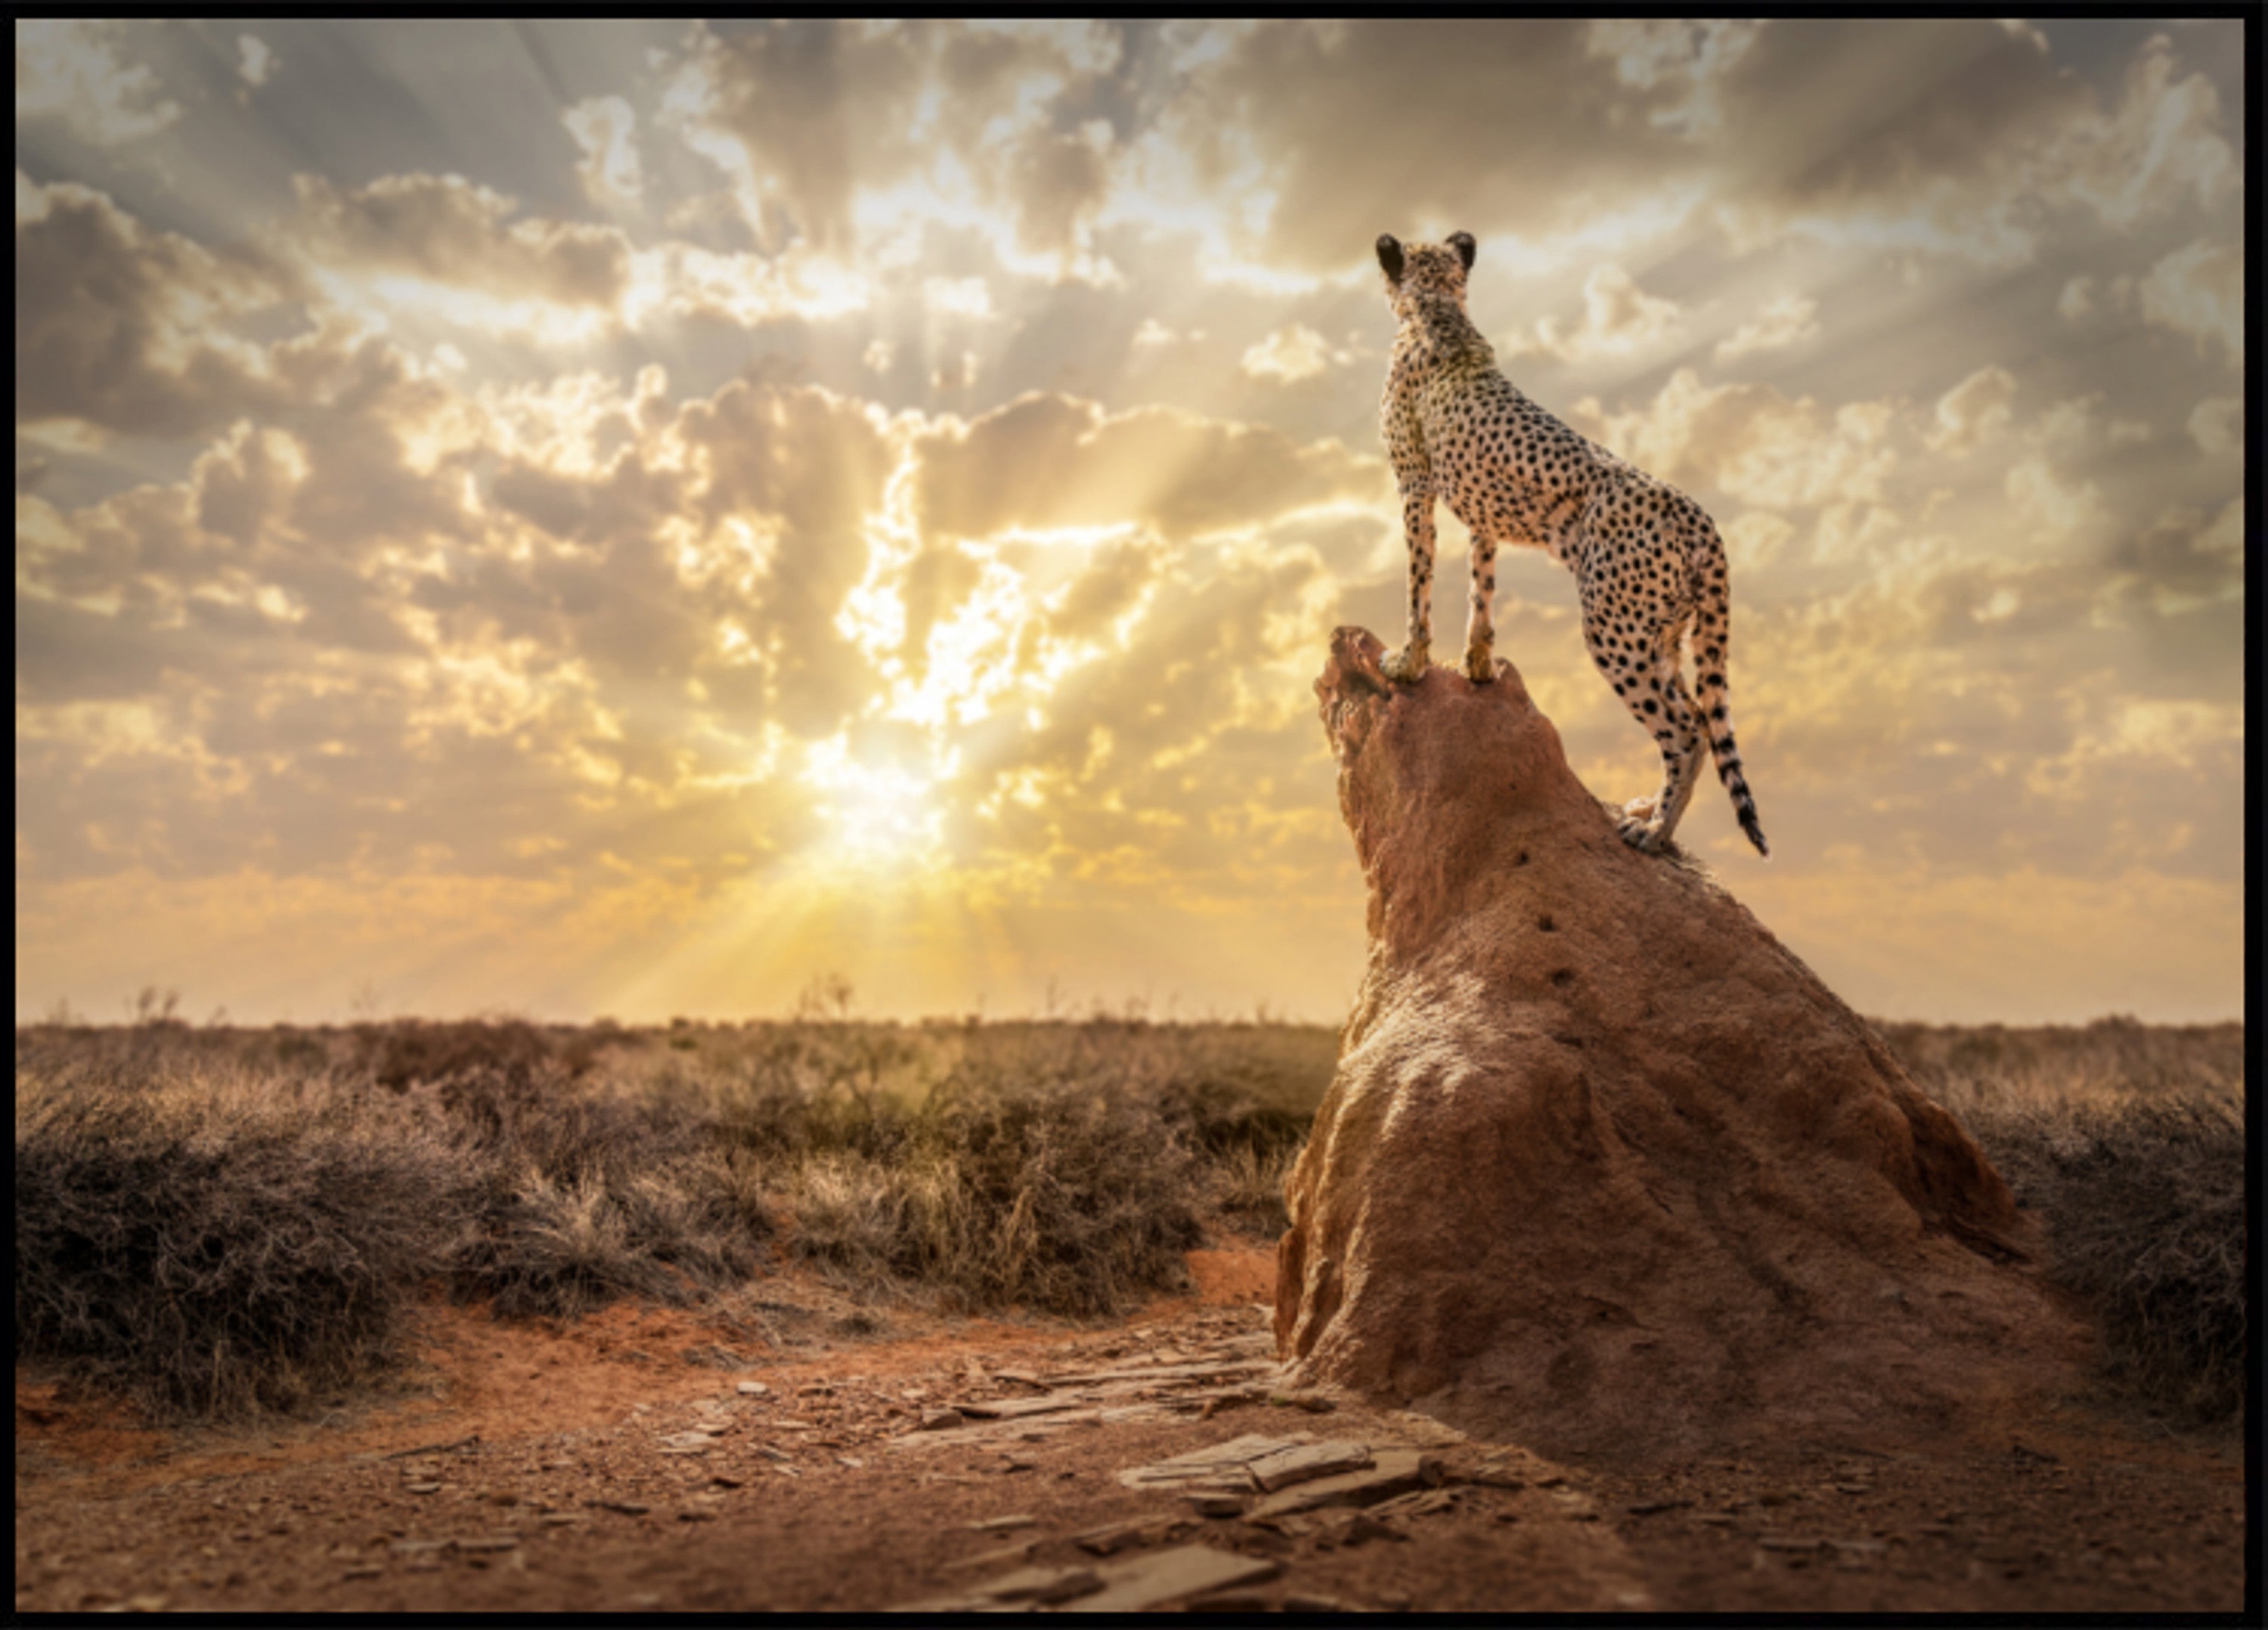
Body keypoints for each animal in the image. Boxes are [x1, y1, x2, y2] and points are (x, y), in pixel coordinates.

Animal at [1373, 229, 1767, 857]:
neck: (1437, 309)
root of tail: (1698, 516)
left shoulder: (1414, 485)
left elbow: (1419, 585)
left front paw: (1408, 663)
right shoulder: (1482, 511)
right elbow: (1481, 589)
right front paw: (1478, 665)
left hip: (1616, 630)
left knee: (1685, 730)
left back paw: (1655, 830)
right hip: (1661, 631)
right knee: (1702, 719)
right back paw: (1649, 809)